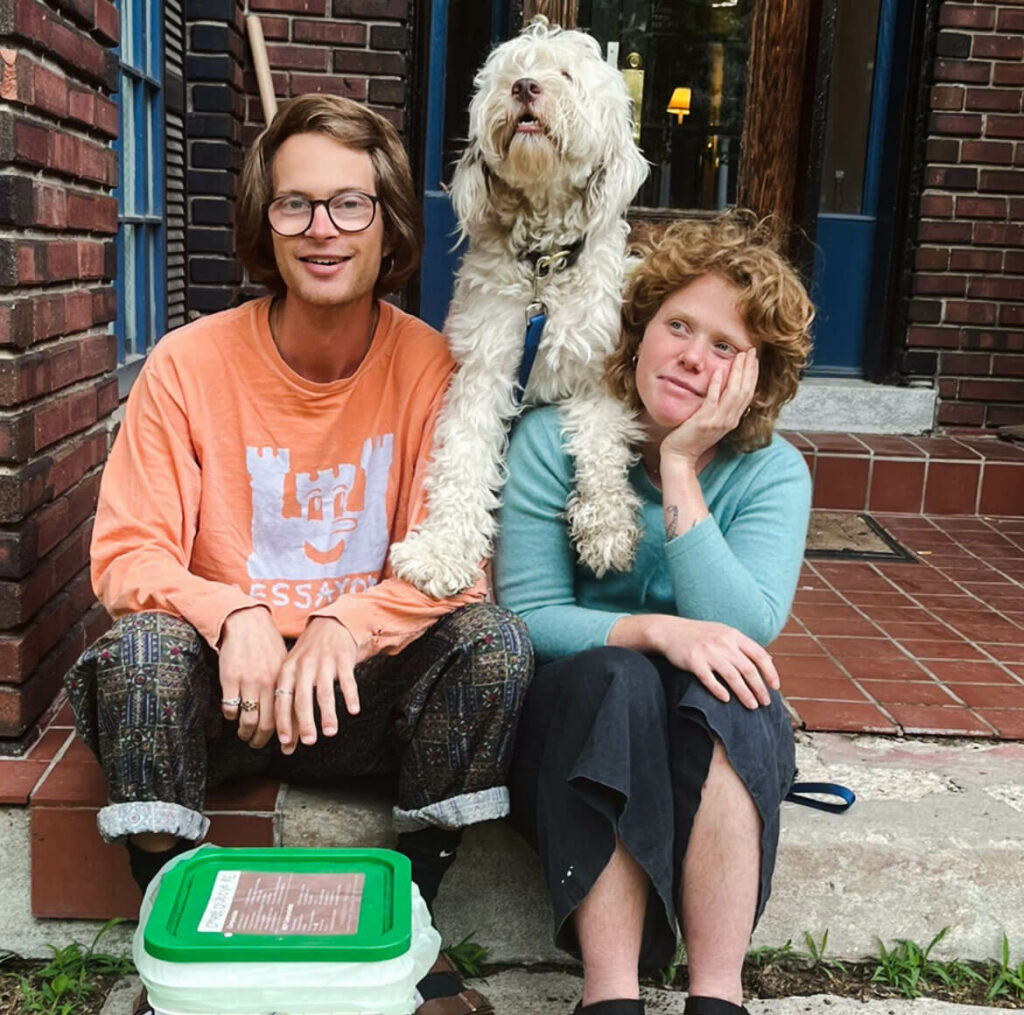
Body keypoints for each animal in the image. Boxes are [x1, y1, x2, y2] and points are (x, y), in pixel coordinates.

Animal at [391, 21, 647, 594]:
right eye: (511, 71)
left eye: (566, 74)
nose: (526, 87)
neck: (543, 268)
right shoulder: (486, 367)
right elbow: (463, 460)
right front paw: (441, 552)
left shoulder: (599, 375)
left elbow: (602, 445)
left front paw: (607, 528)